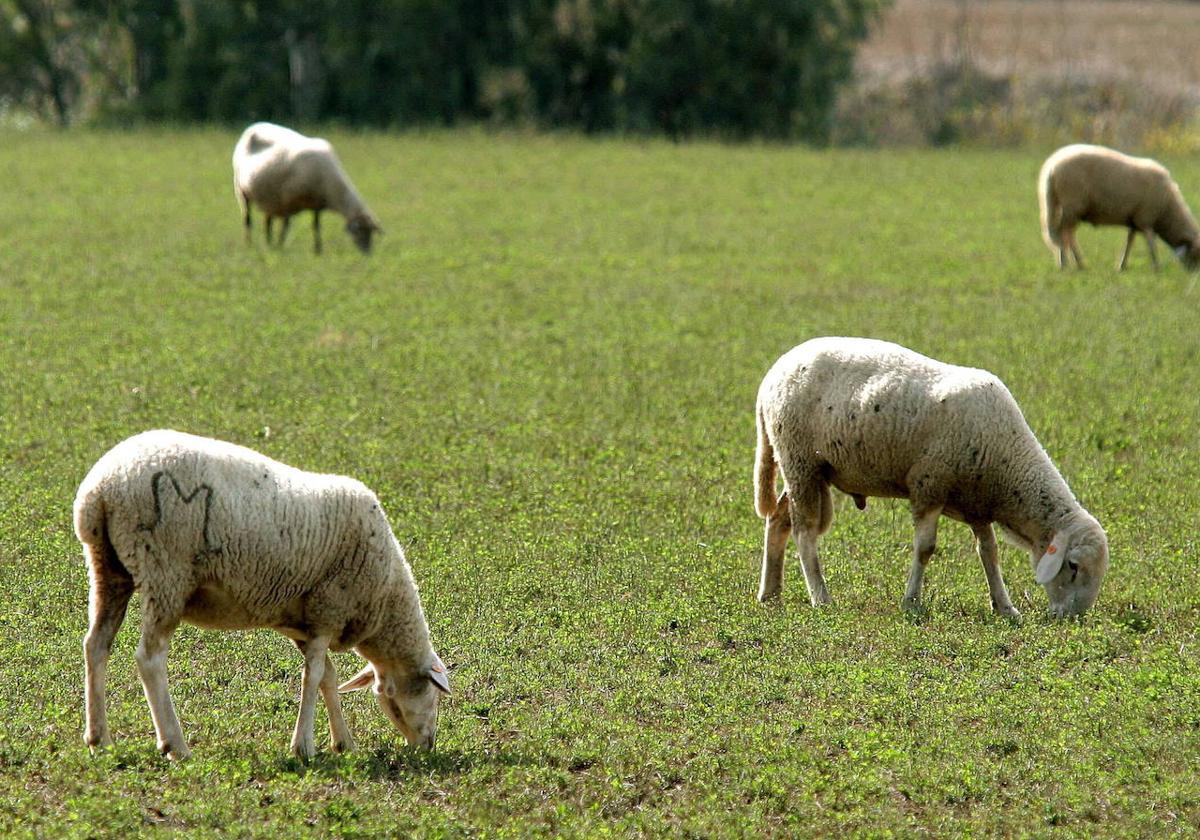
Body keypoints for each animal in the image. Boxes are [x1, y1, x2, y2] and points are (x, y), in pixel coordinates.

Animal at [75, 429, 451, 763]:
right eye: (435, 696)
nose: (428, 745)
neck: (386, 598)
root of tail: (101, 488)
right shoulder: (328, 609)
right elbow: (314, 676)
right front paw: (304, 747)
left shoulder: (304, 624)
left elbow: (327, 677)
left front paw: (344, 743)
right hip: (166, 571)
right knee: (149, 658)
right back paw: (175, 745)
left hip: (108, 568)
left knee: (96, 644)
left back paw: (99, 740)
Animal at [231, 120, 381, 253]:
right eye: (360, 232)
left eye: (370, 232)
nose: (367, 253)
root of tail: (252, 127)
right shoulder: (287, 199)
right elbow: (286, 225)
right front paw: (281, 245)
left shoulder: (316, 204)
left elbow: (316, 226)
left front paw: (318, 250)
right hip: (241, 191)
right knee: (247, 219)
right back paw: (249, 244)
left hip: (269, 198)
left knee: (267, 221)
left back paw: (268, 243)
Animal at [753, 338, 1108, 619]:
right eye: (1073, 565)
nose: (1071, 618)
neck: (1007, 463)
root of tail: (771, 376)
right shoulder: (929, 486)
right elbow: (925, 548)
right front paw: (911, 601)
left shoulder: (976, 504)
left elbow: (989, 553)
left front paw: (1005, 607)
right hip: (799, 459)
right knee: (805, 531)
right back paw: (820, 596)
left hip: (808, 469)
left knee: (779, 519)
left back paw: (770, 593)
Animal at [1032, 142, 1200, 271]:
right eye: (1197, 254)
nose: (1194, 272)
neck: (1167, 210)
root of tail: (1052, 167)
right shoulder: (1146, 218)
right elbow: (1151, 242)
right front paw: (1156, 266)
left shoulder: (1135, 220)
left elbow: (1129, 242)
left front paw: (1122, 266)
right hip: (1072, 206)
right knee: (1064, 234)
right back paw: (1067, 264)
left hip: (1063, 205)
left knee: (1066, 235)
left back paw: (1077, 264)